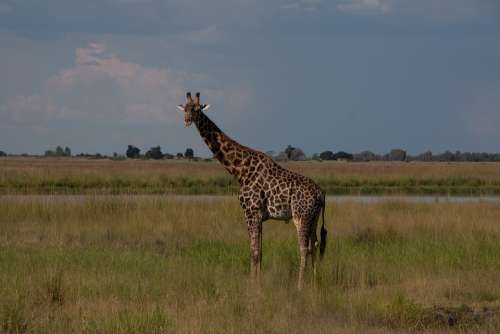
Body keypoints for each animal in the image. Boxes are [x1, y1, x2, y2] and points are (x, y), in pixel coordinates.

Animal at [177, 92, 328, 290]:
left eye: (196, 109)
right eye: (185, 109)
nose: (187, 120)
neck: (240, 169)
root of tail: (321, 194)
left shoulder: (251, 212)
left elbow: (253, 251)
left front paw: (252, 285)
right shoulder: (260, 216)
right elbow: (260, 252)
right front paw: (258, 282)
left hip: (301, 216)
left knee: (304, 247)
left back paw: (300, 285)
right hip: (313, 217)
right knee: (315, 244)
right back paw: (315, 282)